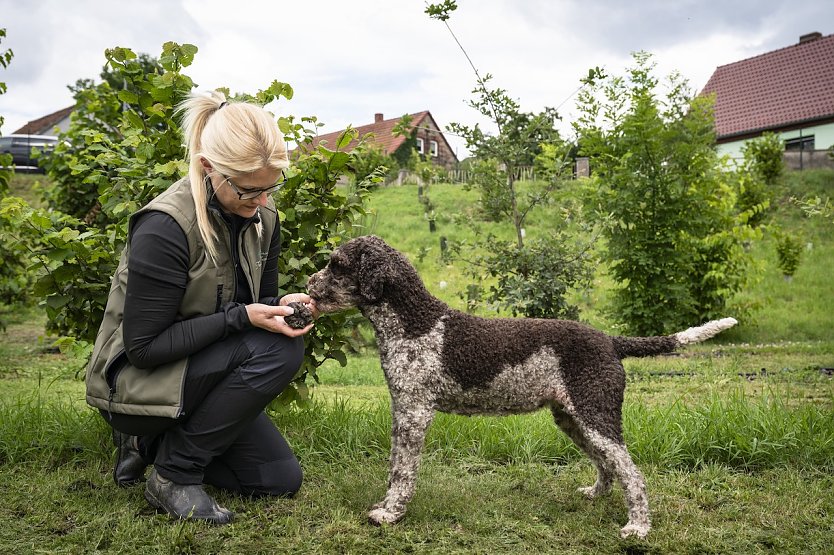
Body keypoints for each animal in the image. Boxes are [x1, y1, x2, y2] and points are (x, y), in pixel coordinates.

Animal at [308, 235, 736, 540]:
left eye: (337, 263)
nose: (309, 284)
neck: (415, 322)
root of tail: (610, 340)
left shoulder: (414, 412)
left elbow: (402, 471)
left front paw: (391, 513)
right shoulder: (403, 410)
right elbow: (396, 465)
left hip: (595, 414)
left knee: (632, 472)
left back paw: (639, 527)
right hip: (573, 419)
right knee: (608, 464)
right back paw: (596, 495)